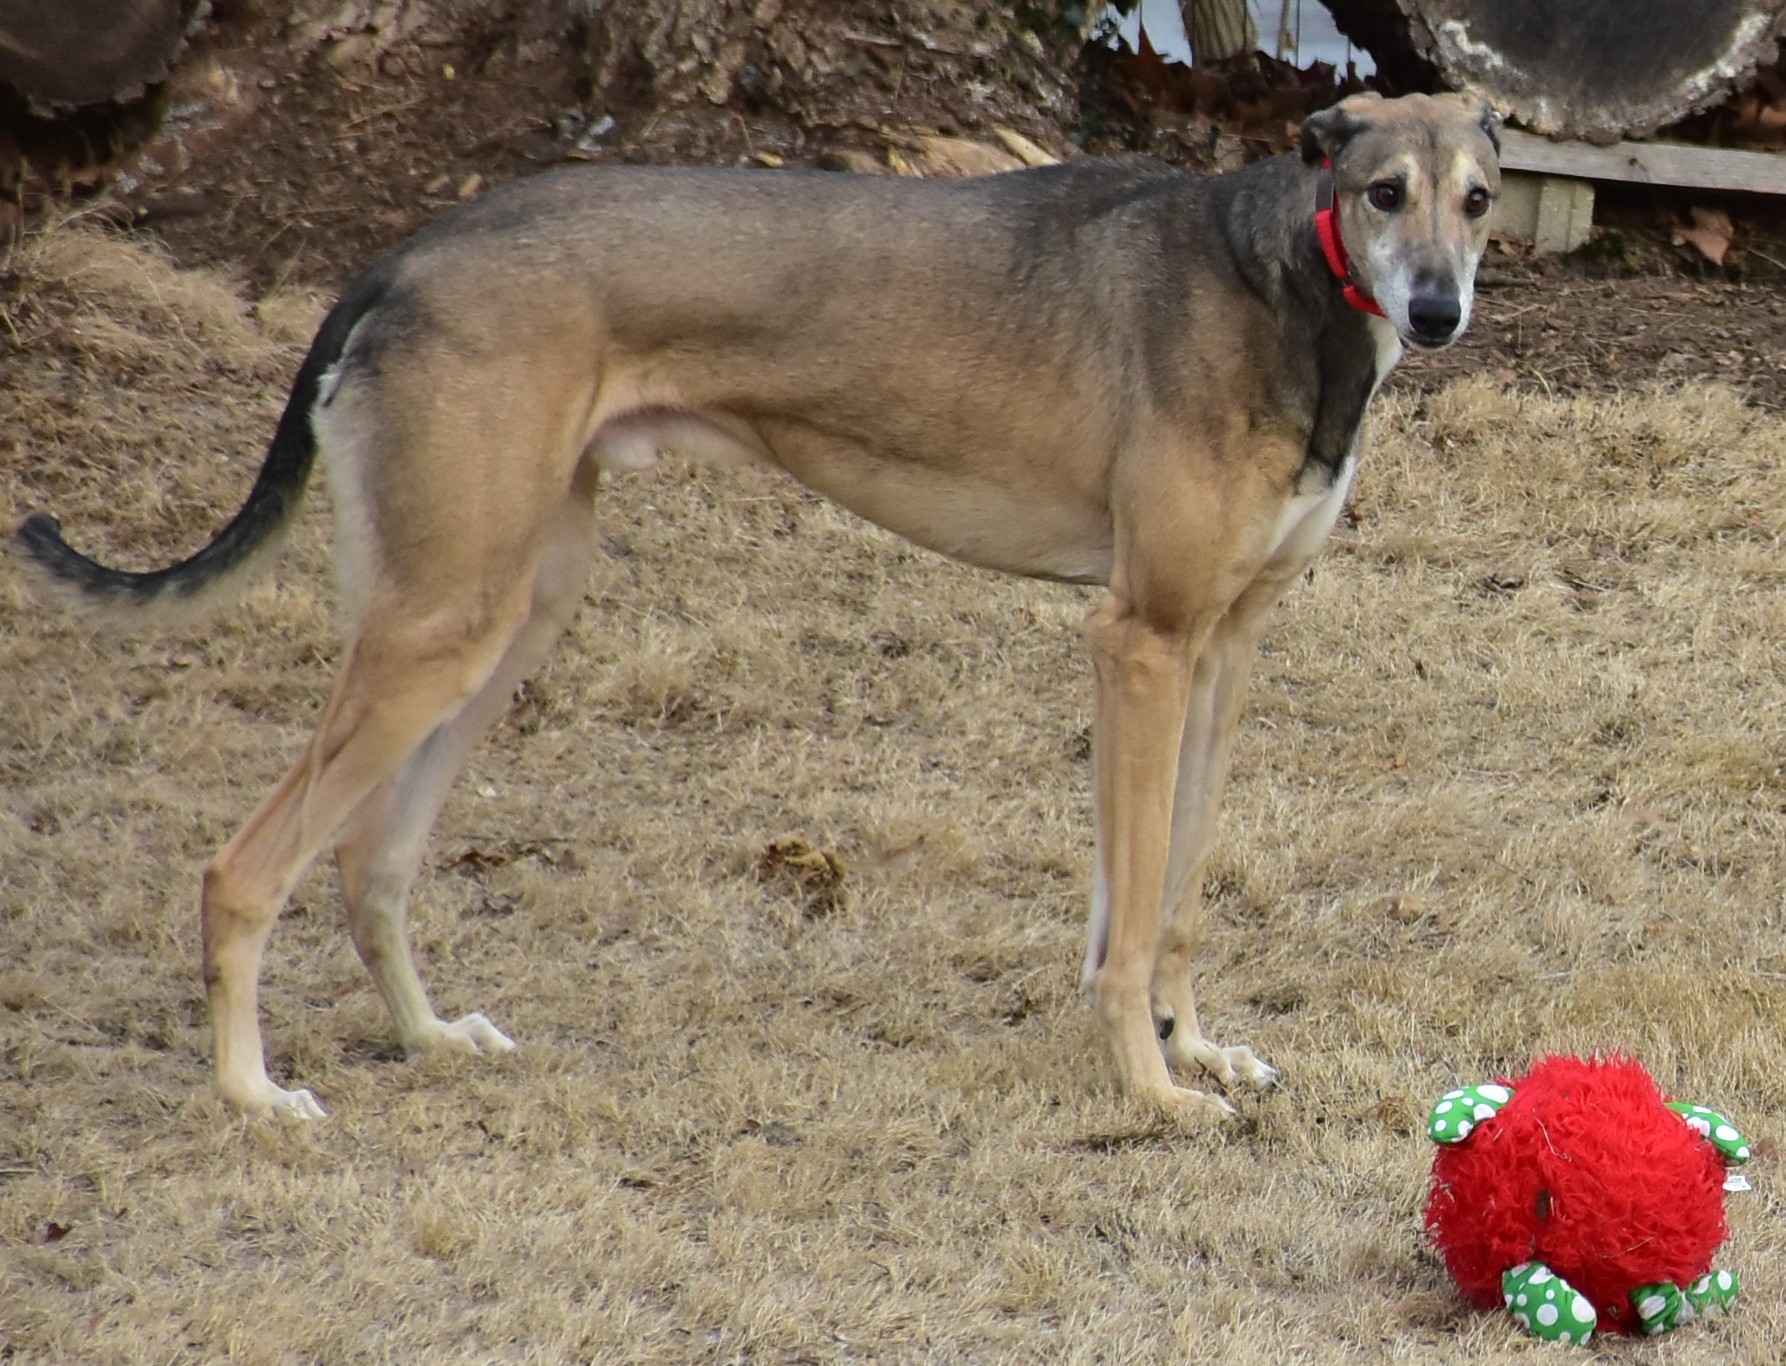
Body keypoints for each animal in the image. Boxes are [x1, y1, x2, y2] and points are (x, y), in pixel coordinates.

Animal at [12, 91, 1501, 1119]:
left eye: (1479, 199)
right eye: (1381, 191)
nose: (1436, 313)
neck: (1278, 280)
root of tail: (407, 255)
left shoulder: (1224, 649)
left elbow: (1175, 888)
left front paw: (1201, 1046)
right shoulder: (1139, 643)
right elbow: (1127, 918)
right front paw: (1149, 1085)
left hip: (508, 616)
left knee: (374, 859)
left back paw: (429, 1038)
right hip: (439, 628)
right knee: (245, 866)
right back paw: (252, 1094)